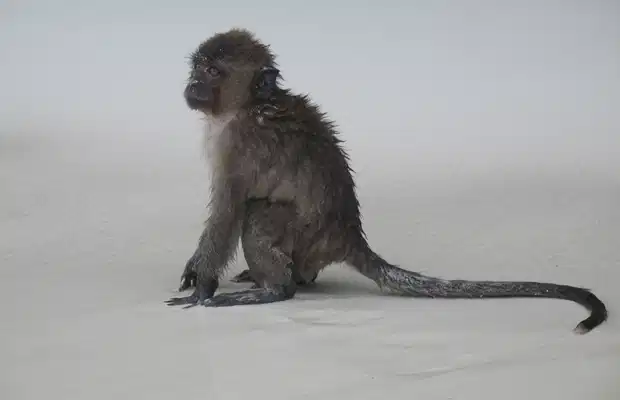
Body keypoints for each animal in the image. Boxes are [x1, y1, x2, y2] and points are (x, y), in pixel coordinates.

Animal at [166, 28, 608, 334]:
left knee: (259, 214)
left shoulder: (237, 144)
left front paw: (202, 285)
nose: (192, 84)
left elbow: (228, 211)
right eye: (197, 67)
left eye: (213, 71)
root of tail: (349, 235)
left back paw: (275, 289)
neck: (248, 106)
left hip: (307, 236)